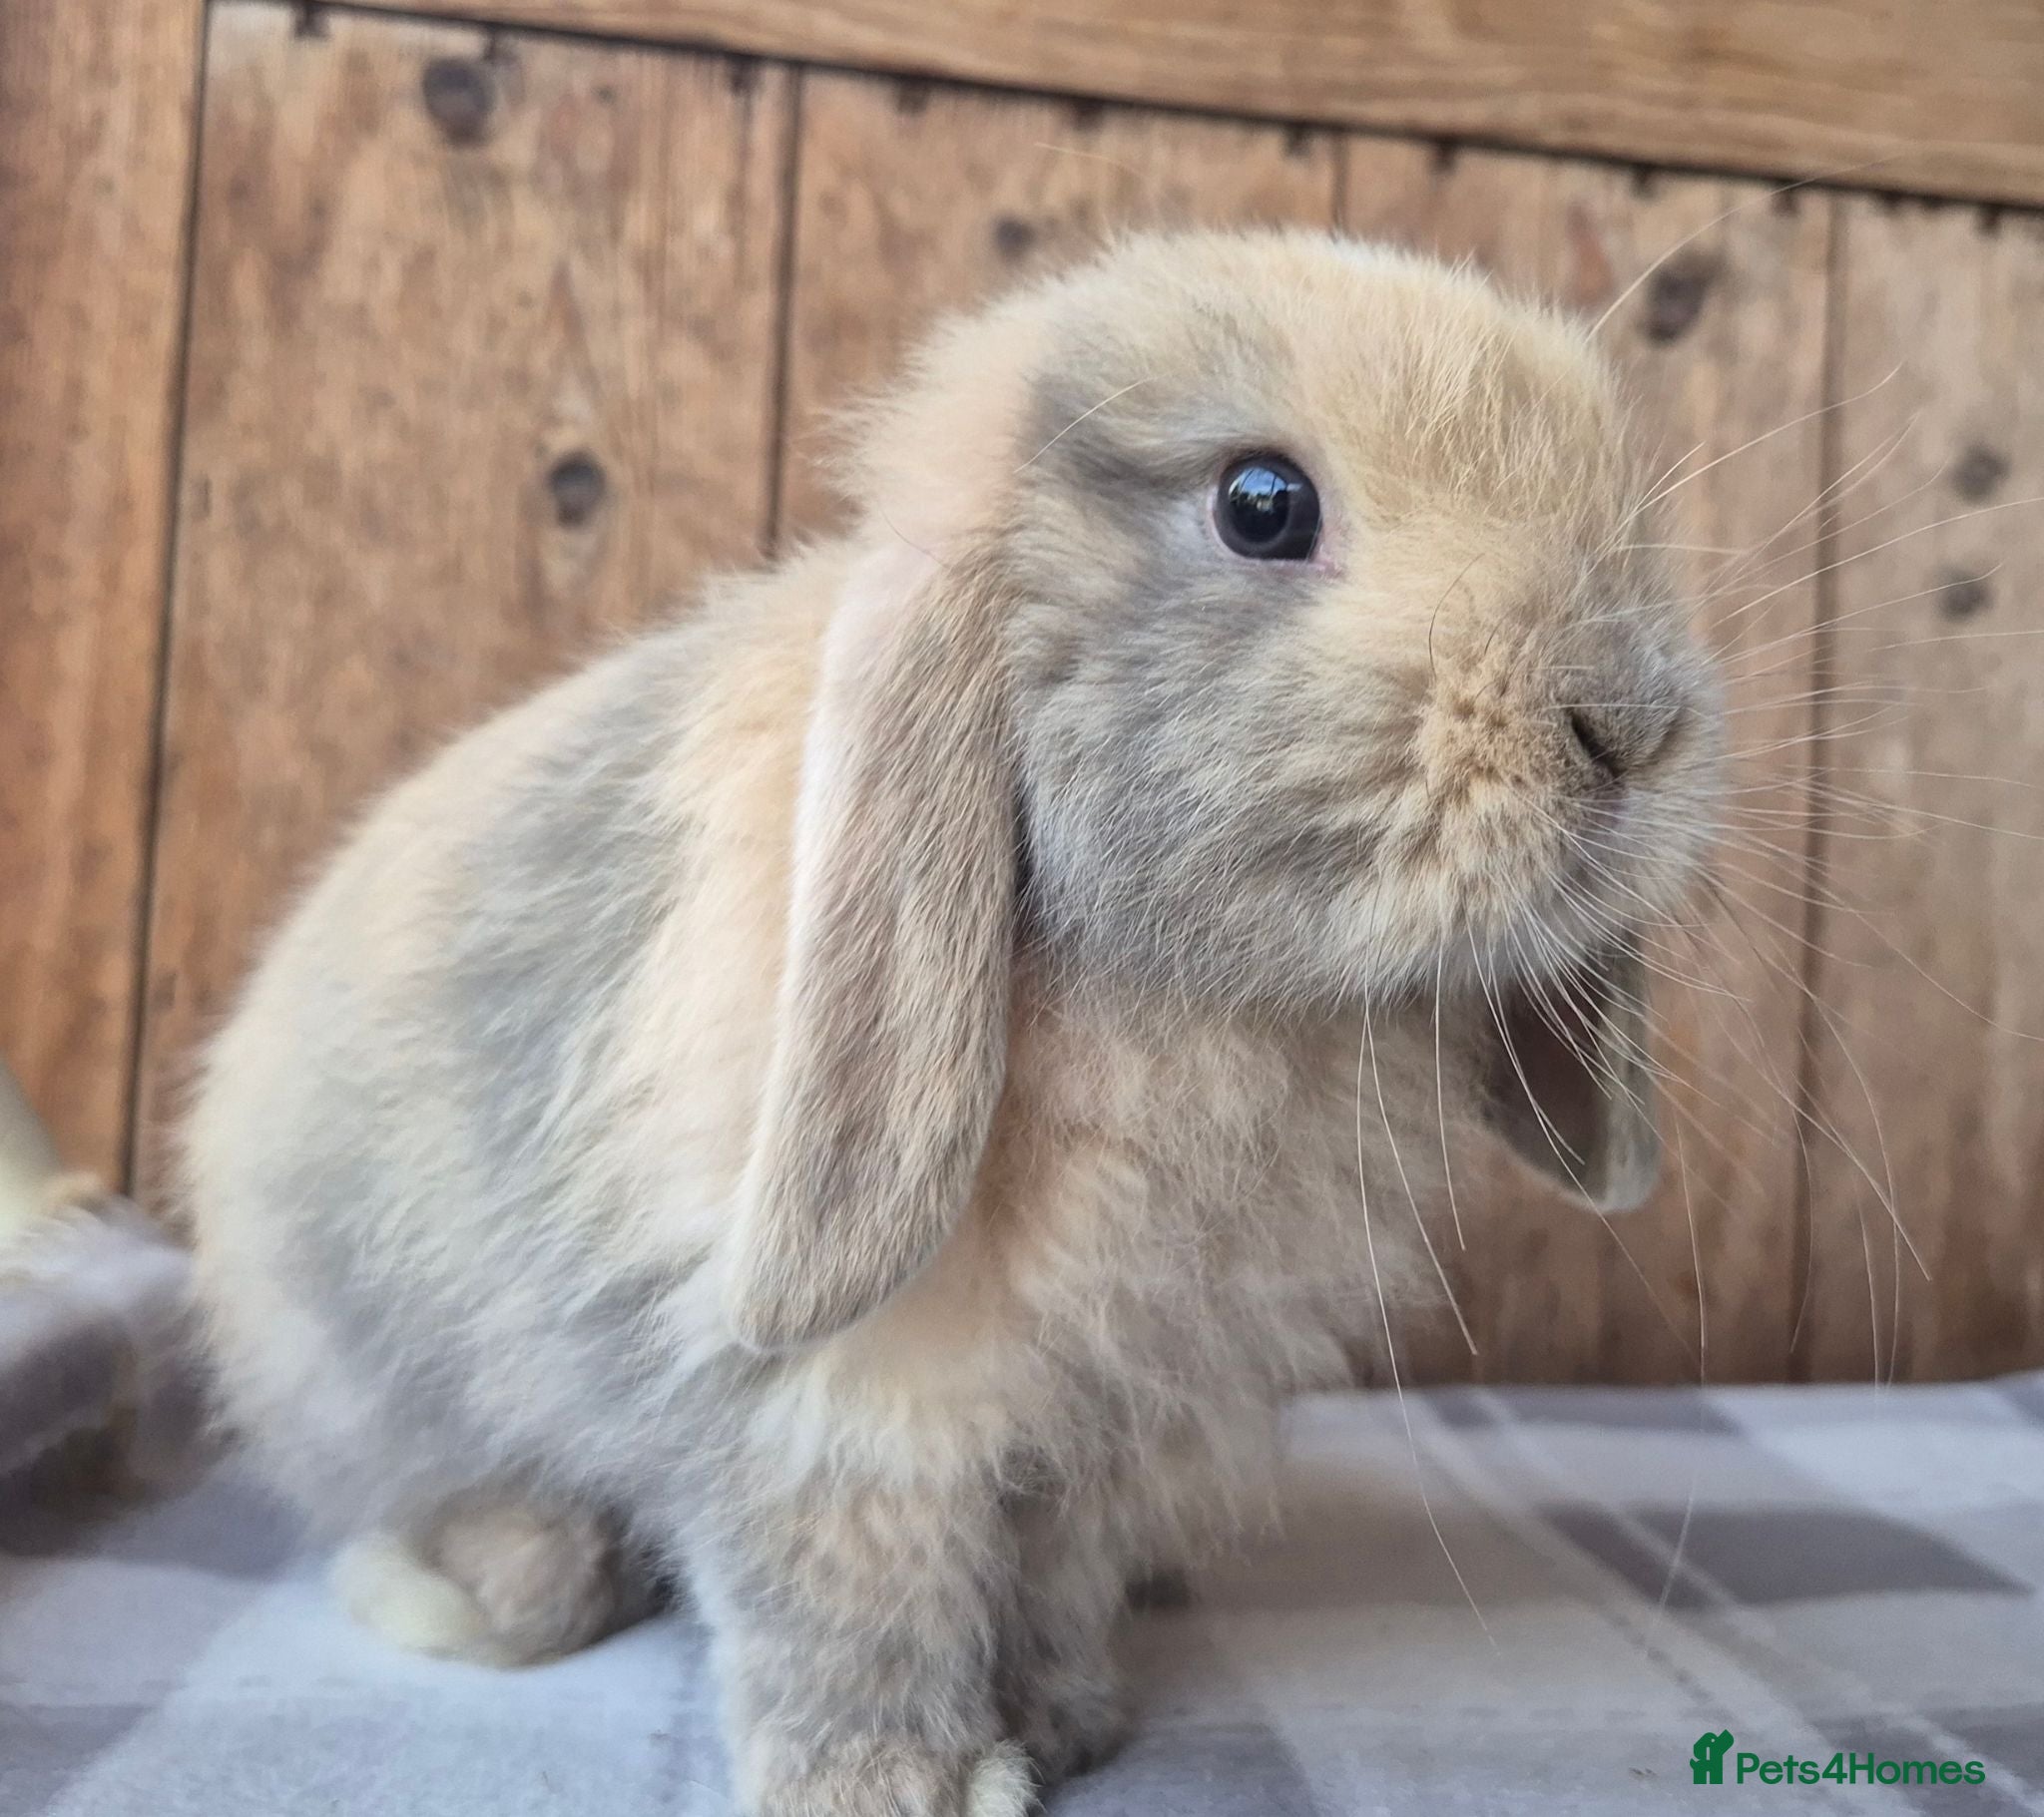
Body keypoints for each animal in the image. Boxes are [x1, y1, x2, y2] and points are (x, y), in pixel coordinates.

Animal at [183, 229, 1723, 1816]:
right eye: (1262, 506)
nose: (1629, 724)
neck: (1210, 1001)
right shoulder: (836, 1412)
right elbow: (854, 1601)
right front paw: (893, 1786)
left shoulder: (1109, 1420)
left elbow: (1050, 1579)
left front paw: (1064, 1723)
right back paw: (486, 1580)